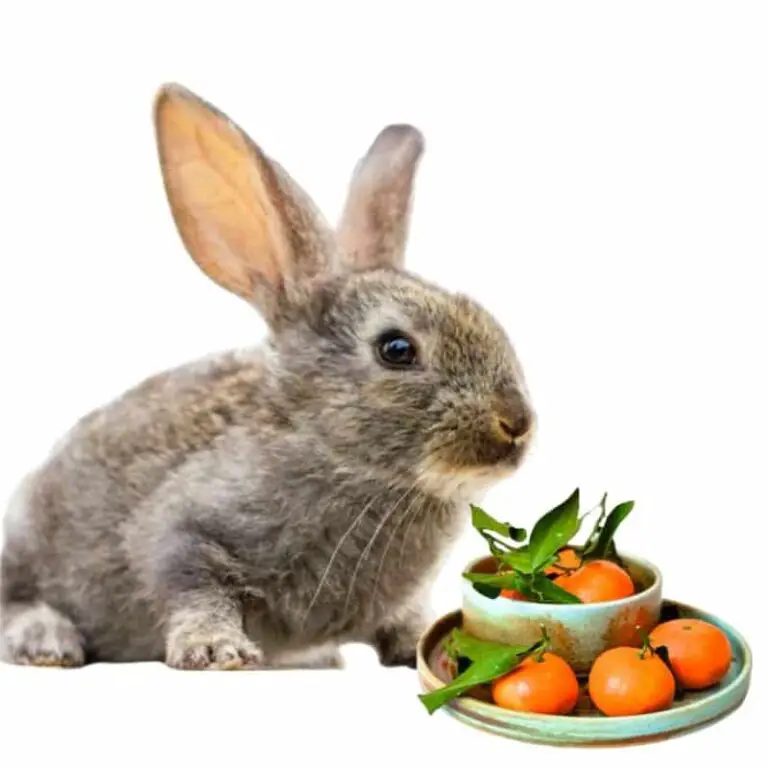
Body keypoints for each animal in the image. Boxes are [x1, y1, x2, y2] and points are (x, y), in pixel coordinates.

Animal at [0, 83, 536, 671]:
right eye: (396, 349)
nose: (517, 422)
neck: (336, 456)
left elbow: (404, 619)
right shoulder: (181, 532)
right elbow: (193, 586)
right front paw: (216, 650)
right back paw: (47, 641)